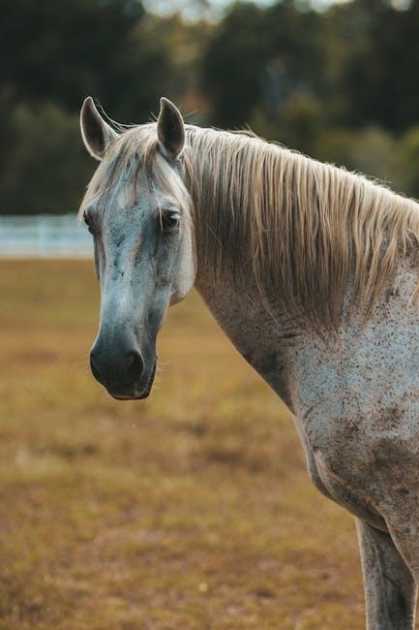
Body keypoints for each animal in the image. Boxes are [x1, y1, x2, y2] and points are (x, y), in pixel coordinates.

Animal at [79, 95, 419, 630]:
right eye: (89, 220)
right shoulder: (376, 525)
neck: (361, 314)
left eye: (170, 219)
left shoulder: (406, 521)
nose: (116, 361)